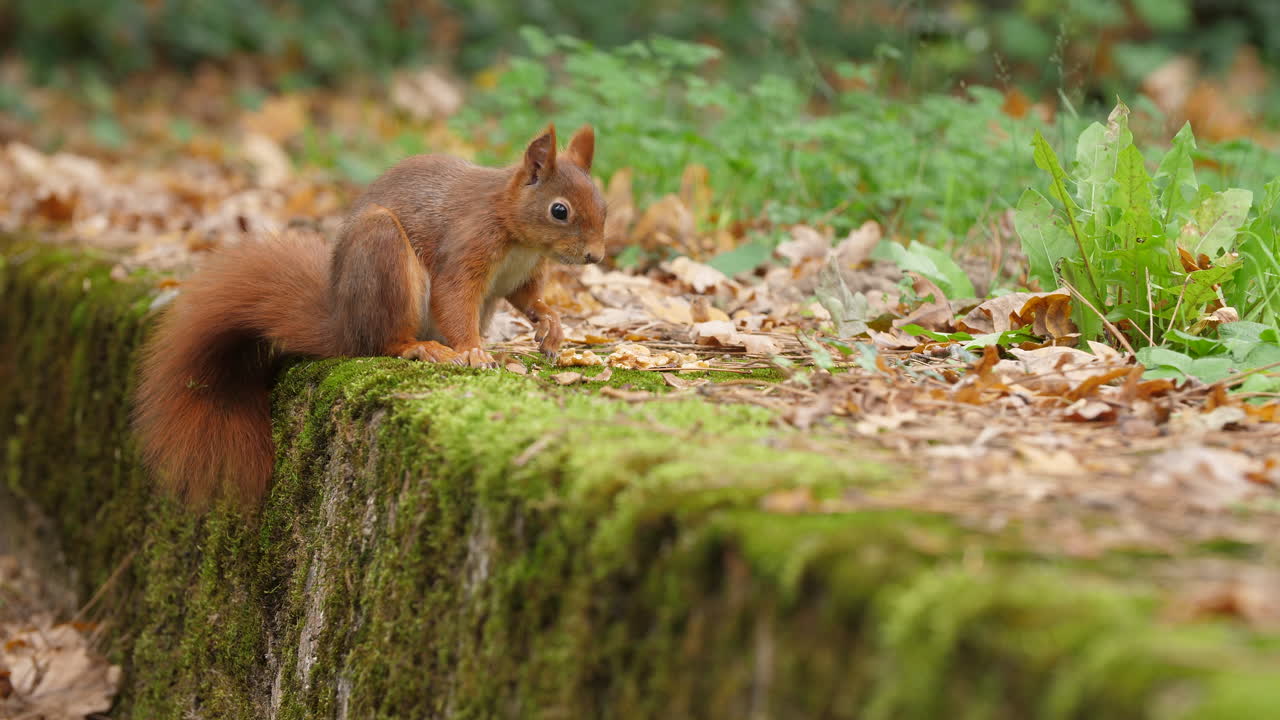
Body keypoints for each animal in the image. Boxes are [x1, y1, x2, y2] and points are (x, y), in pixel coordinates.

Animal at [133, 124, 606, 506]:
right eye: (559, 210)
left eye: (603, 205)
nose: (596, 256)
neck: (518, 234)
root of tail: (344, 325)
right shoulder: (468, 244)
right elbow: (455, 298)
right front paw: (473, 351)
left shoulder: (522, 273)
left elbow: (529, 299)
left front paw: (551, 327)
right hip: (382, 254)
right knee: (385, 342)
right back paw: (425, 349)